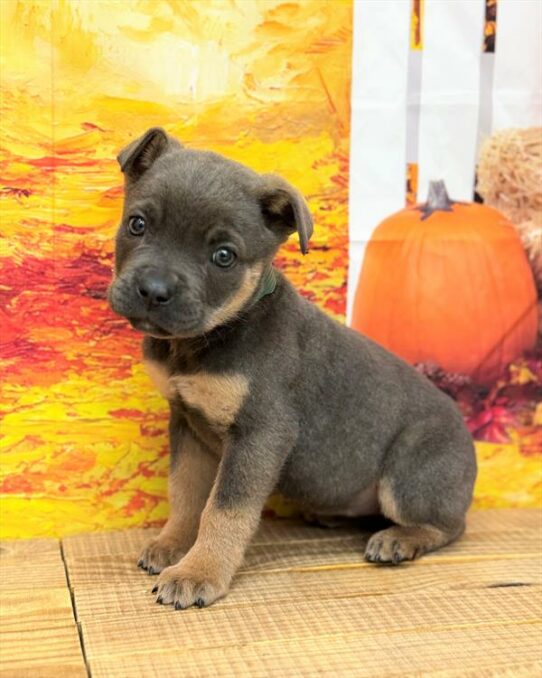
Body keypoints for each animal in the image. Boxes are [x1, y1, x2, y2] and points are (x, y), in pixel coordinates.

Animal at [108, 126, 478, 612]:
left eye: (224, 256)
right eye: (138, 224)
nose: (153, 291)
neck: (209, 337)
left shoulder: (261, 432)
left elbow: (223, 510)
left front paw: (199, 572)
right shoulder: (187, 424)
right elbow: (185, 493)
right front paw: (173, 545)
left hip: (409, 475)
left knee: (449, 525)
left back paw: (399, 539)